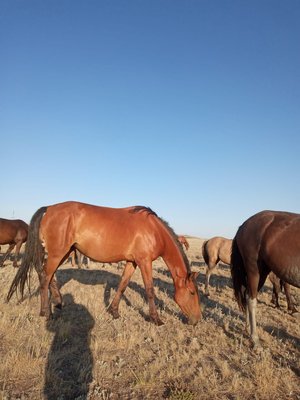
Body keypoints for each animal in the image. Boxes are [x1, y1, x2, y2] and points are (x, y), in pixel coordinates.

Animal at [7, 202, 202, 326]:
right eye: (192, 293)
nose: (197, 320)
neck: (154, 230)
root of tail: (49, 209)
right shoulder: (144, 262)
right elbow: (150, 290)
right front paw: (156, 319)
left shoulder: (132, 262)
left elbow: (122, 285)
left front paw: (114, 311)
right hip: (58, 253)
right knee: (45, 278)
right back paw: (46, 312)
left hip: (64, 252)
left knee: (47, 275)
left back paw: (59, 303)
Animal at [232, 211, 300, 346]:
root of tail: (244, 225)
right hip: (254, 270)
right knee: (251, 299)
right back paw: (254, 339)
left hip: (262, 272)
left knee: (247, 295)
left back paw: (248, 328)